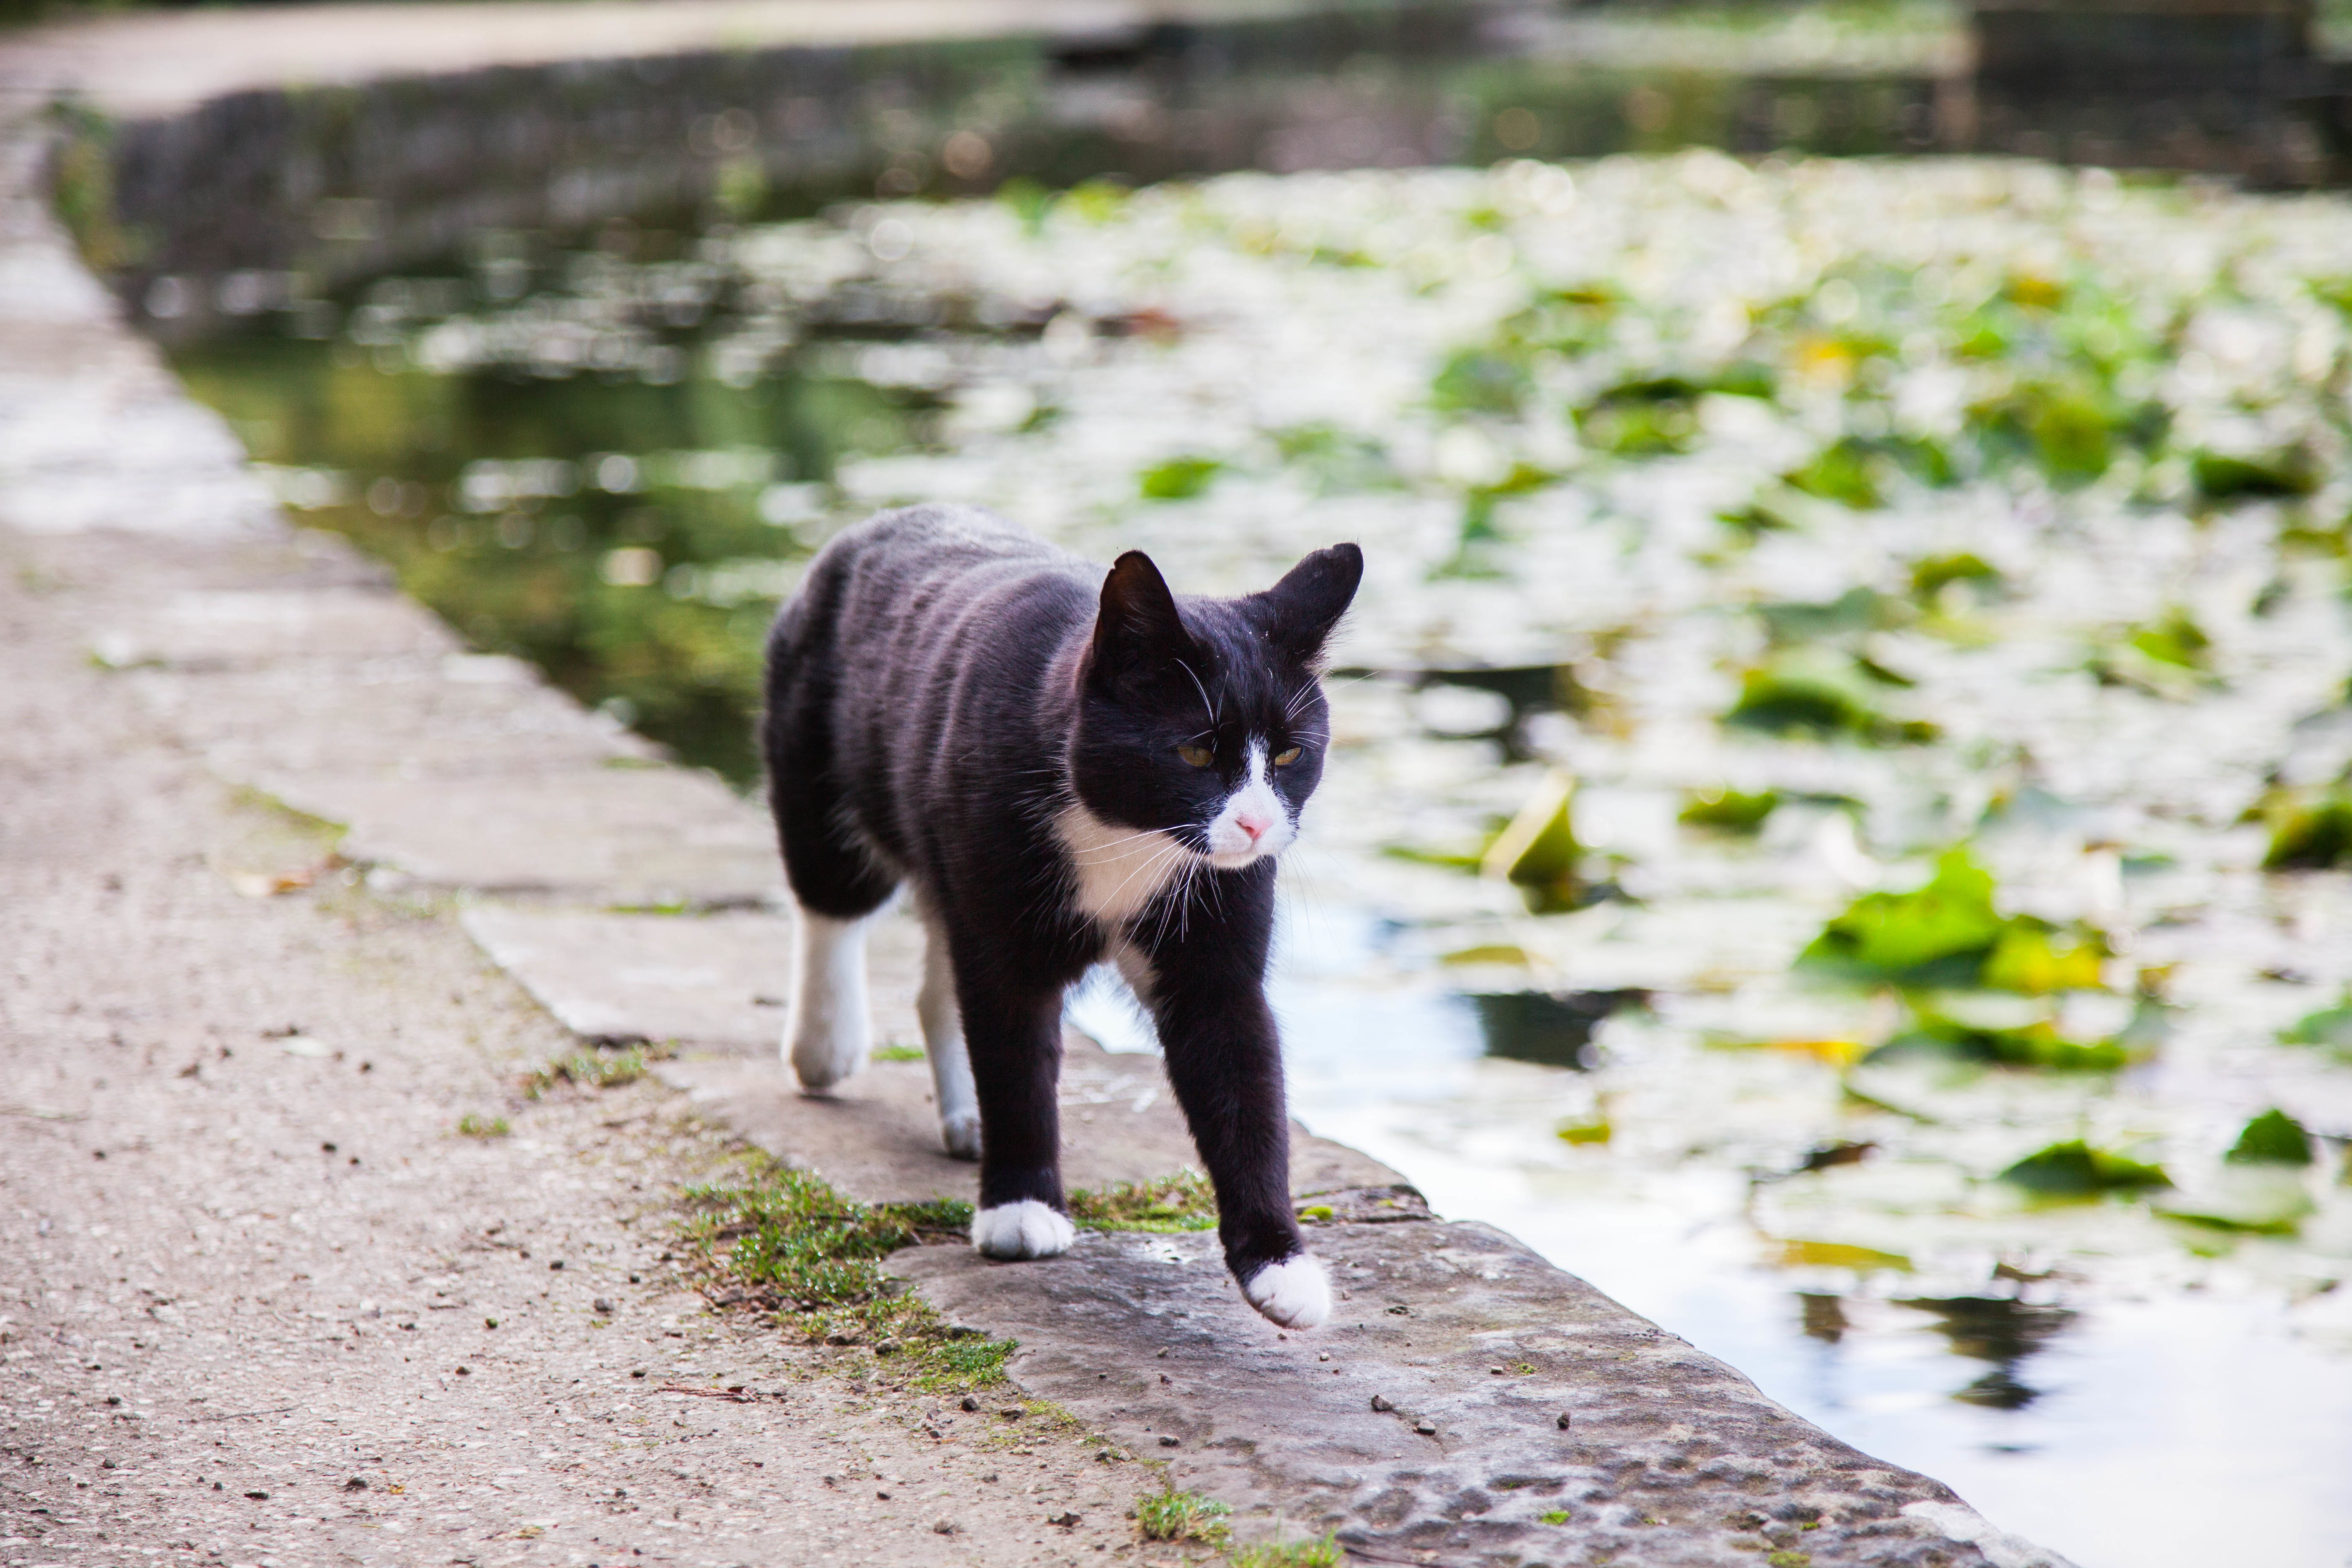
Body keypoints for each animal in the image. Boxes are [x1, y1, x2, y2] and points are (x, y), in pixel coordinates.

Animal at [762, 503, 1364, 1326]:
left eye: (1288, 756)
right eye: (1196, 753)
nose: (1254, 825)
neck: (1122, 833)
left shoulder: (1215, 936)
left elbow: (1244, 1079)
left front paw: (1279, 1264)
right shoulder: (1002, 914)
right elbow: (1014, 1047)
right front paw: (1020, 1208)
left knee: (941, 973)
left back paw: (964, 1115)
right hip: (818, 760)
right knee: (831, 903)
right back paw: (826, 1043)